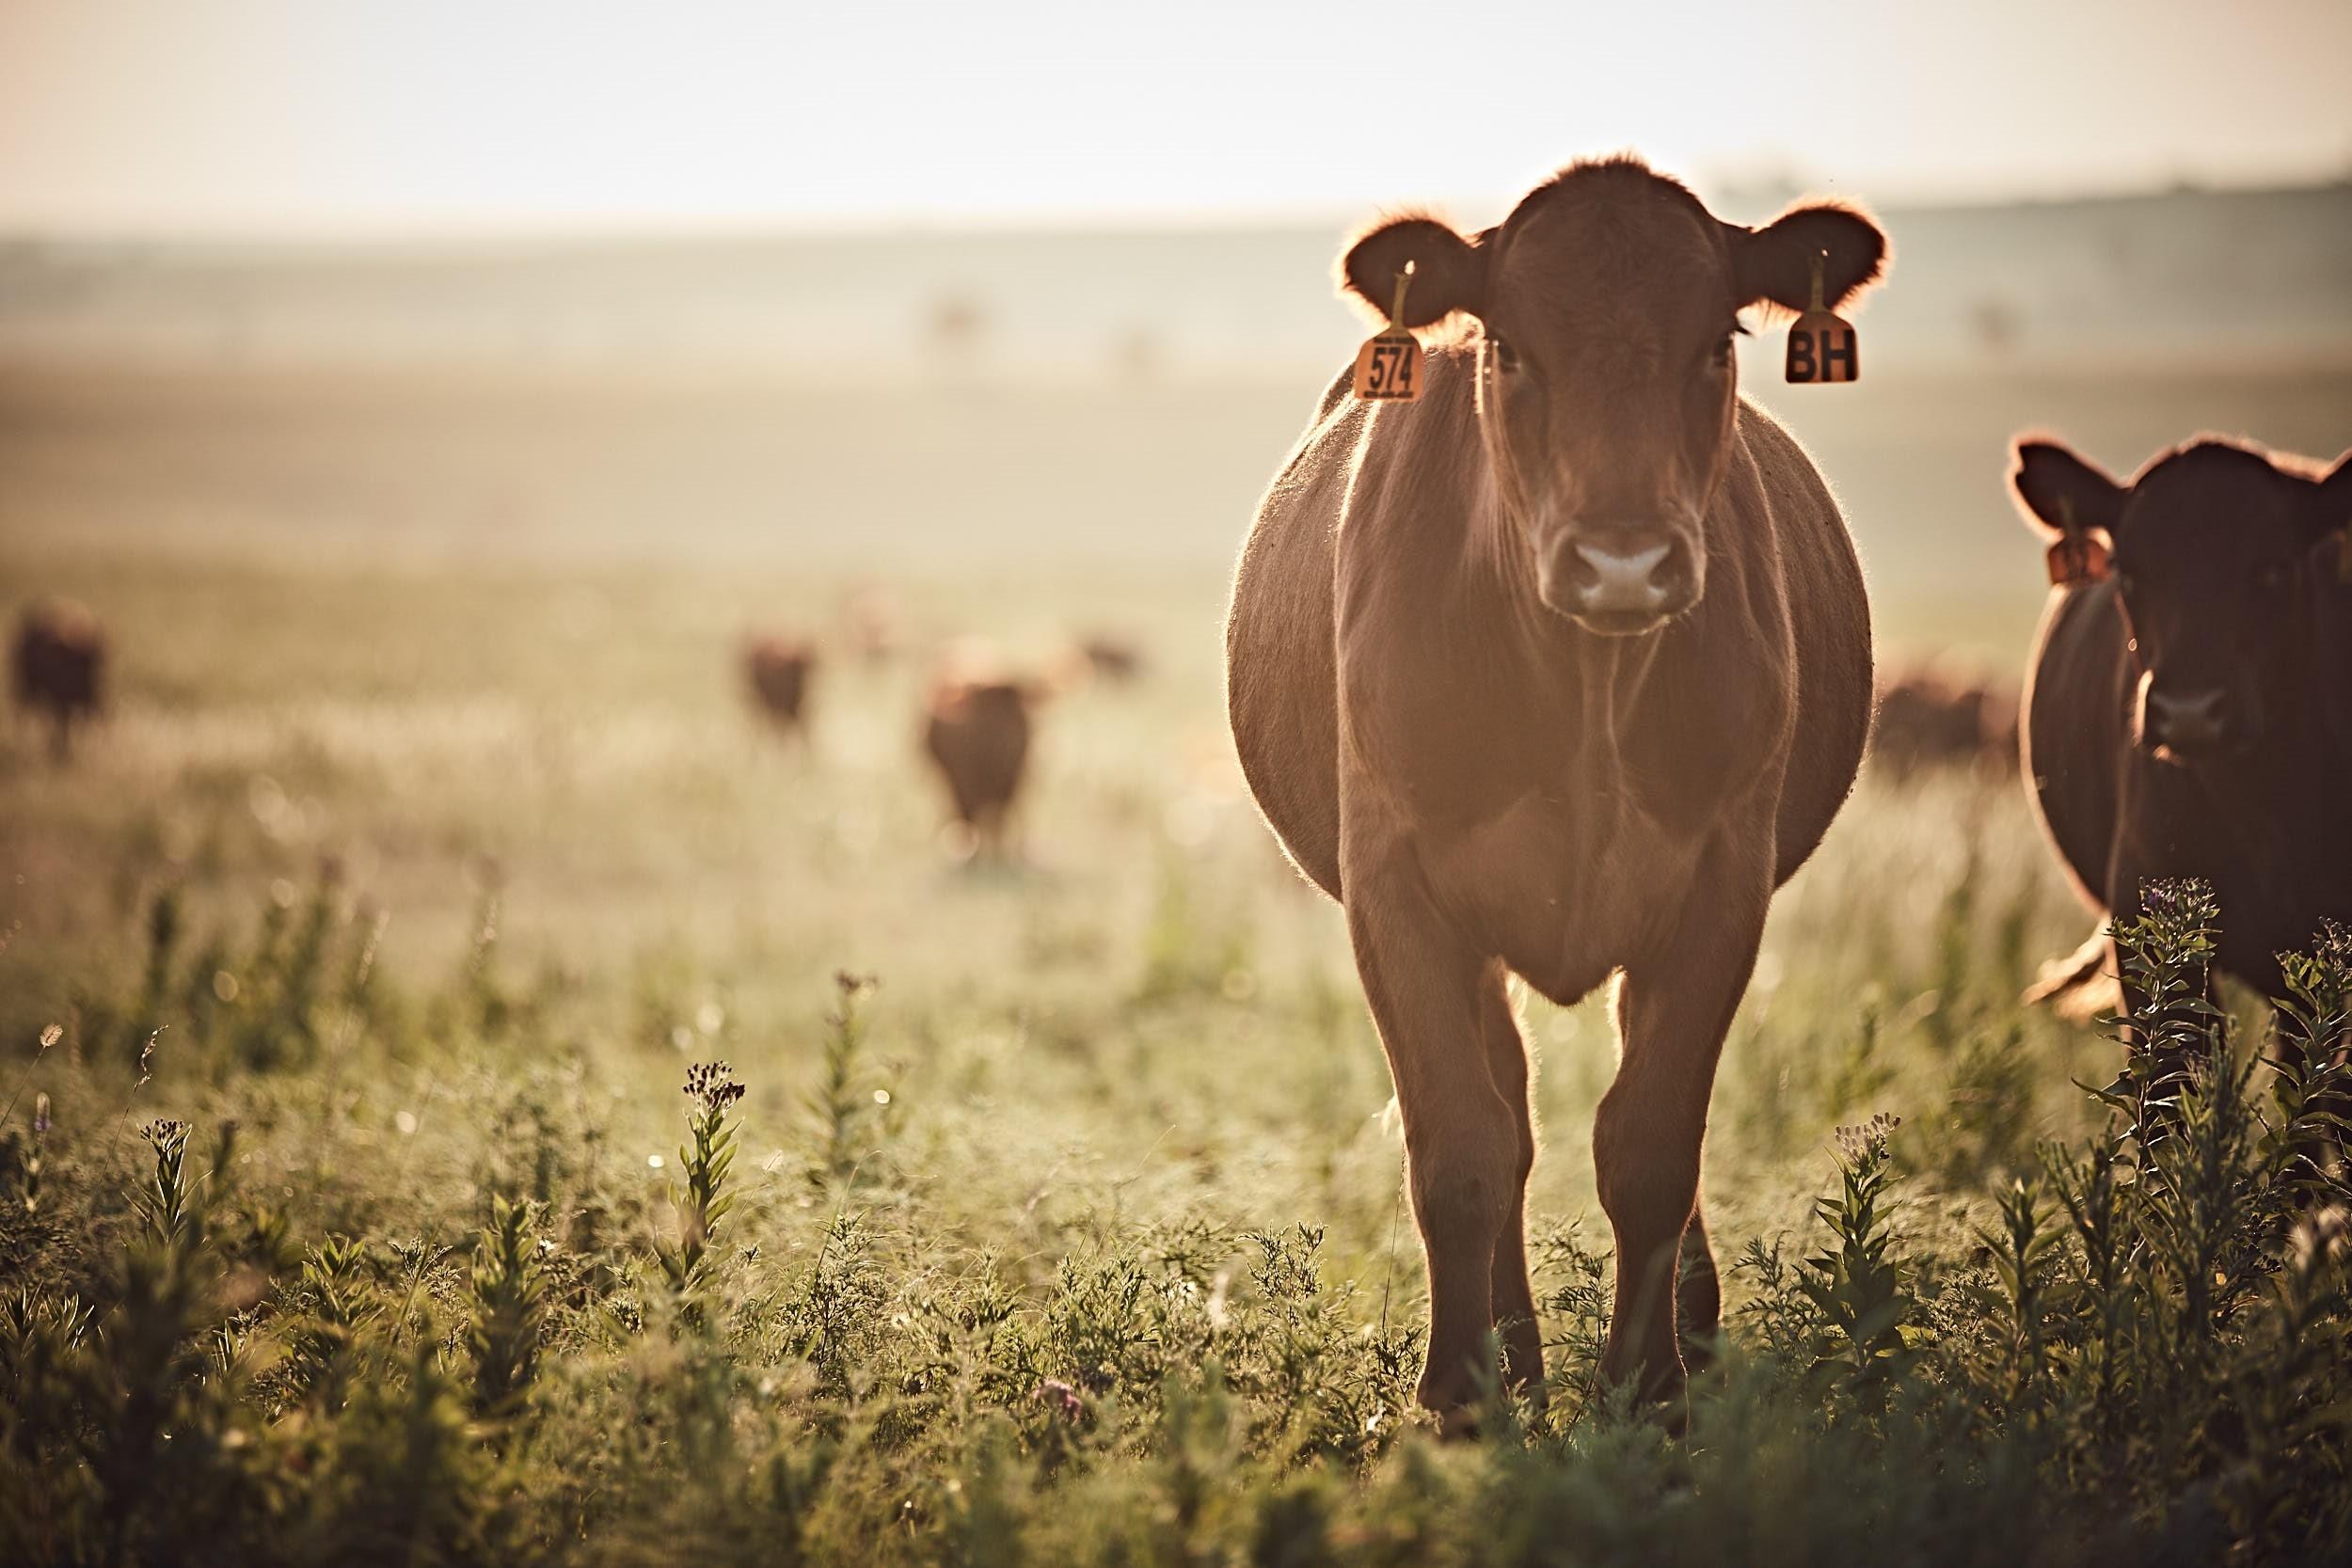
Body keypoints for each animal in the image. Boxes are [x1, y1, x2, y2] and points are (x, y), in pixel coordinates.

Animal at [11, 599, 108, 761]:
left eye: (99, 671)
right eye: (80, 668)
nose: (97, 706)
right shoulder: (60, 699)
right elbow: (61, 722)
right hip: (27, 685)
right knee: (25, 710)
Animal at [1224, 156, 1886, 1427]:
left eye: (1718, 341)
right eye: (1510, 348)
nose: (1623, 561)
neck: (1582, 688)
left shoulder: (1721, 882)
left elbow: (1652, 1142)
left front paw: (1648, 1386)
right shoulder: (1397, 891)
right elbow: (1462, 1145)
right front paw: (1461, 1390)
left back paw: (1688, 1330)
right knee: (1512, 1114)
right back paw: (1516, 1354)